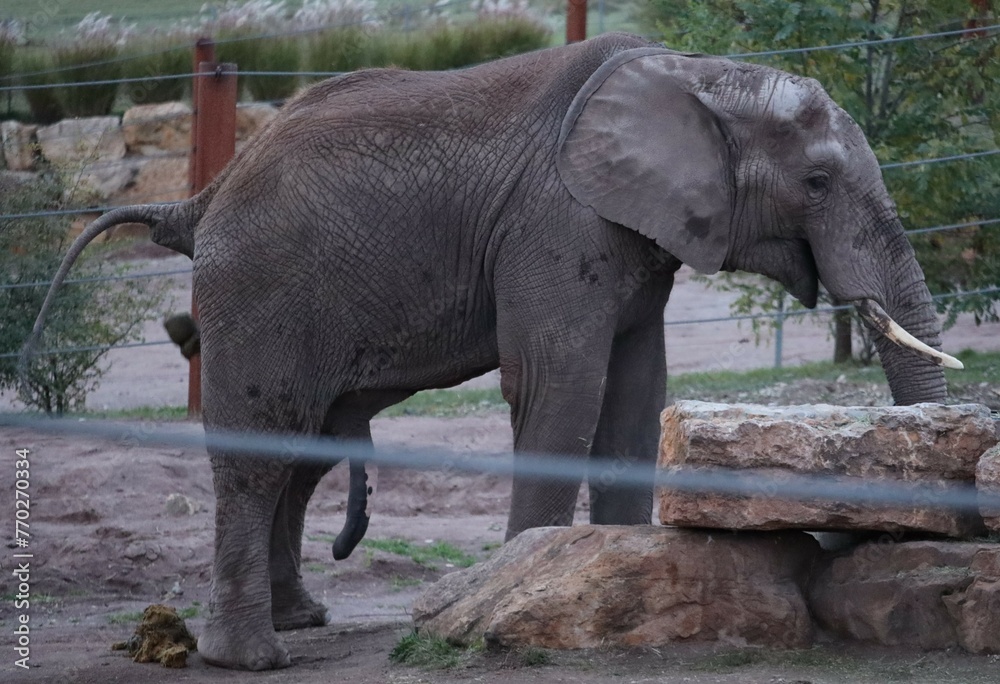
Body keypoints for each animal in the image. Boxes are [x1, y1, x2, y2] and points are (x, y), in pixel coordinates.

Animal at [25, 32, 962, 670]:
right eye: (817, 183)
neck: (697, 74)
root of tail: (200, 198)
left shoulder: (633, 234)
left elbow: (635, 397)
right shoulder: (556, 221)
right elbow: (561, 389)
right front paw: (509, 601)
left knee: (300, 451)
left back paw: (301, 622)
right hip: (260, 291)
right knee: (261, 450)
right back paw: (253, 659)